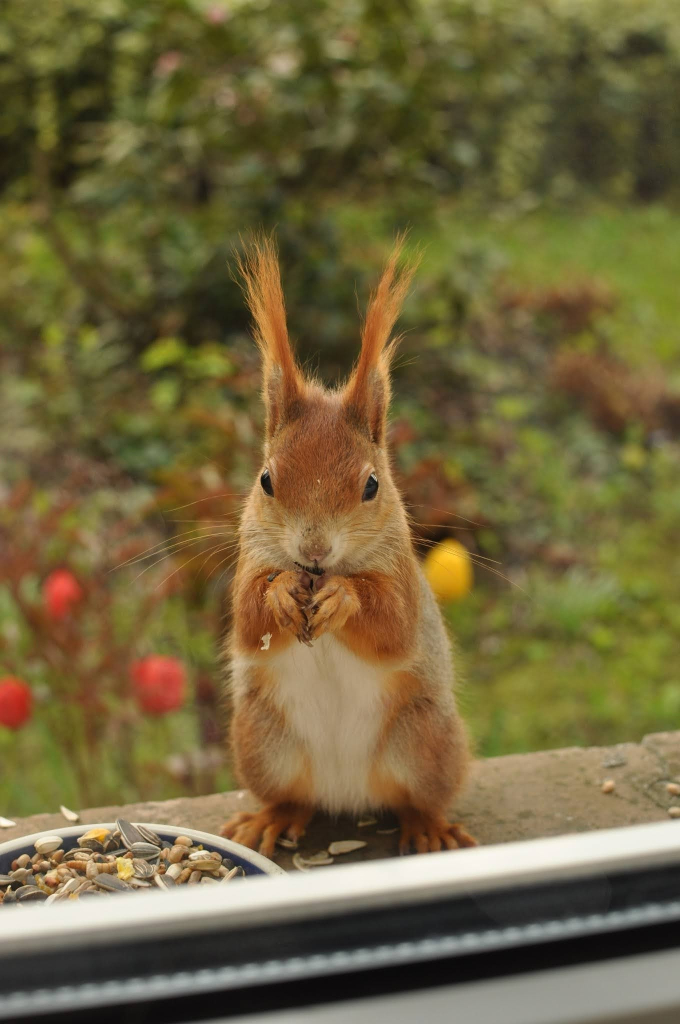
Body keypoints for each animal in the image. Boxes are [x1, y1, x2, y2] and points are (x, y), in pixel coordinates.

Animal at [220, 235, 475, 851]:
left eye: (372, 485)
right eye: (266, 480)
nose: (313, 550)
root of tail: (347, 794)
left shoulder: (402, 570)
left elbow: (394, 624)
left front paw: (343, 598)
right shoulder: (249, 558)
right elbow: (248, 620)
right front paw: (282, 591)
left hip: (426, 741)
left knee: (416, 798)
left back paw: (428, 827)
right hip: (262, 741)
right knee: (295, 797)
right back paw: (271, 818)